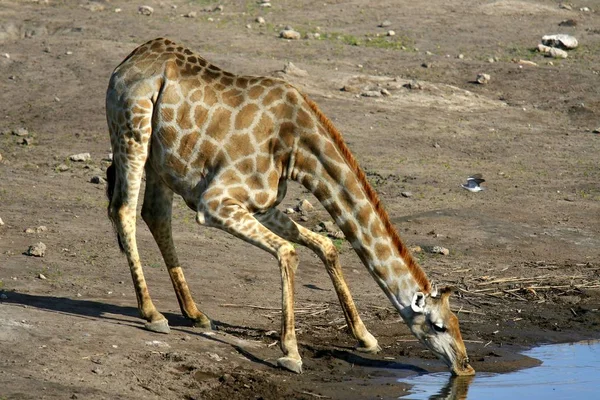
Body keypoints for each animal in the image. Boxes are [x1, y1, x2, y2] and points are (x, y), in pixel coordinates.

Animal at [105, 36, 476, 376]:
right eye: (439, 325)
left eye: (459, 321)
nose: (466, 366)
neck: (297, 148)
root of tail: (127, 61)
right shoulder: (214, 202)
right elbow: (288, 252)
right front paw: (291, 354)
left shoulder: (263, 204)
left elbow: (326, 246)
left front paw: (366, 338)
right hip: (133, 133)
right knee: (124, 209)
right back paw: (152, 313)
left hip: (162, 163)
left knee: (154, 215)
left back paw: (195, 314)